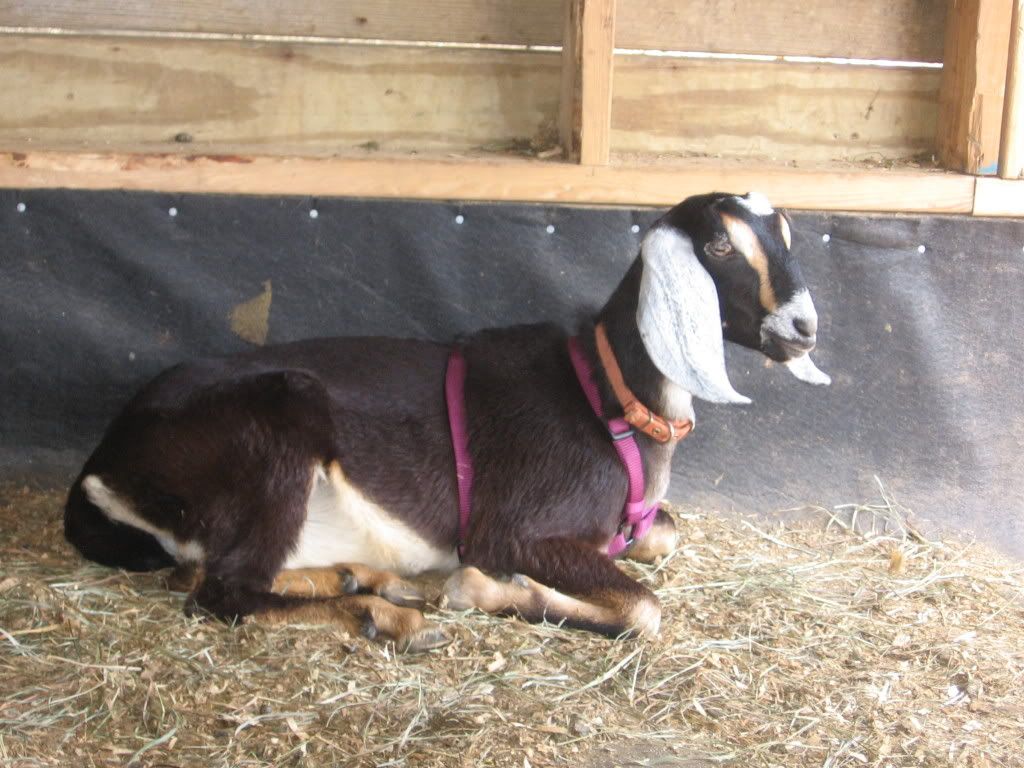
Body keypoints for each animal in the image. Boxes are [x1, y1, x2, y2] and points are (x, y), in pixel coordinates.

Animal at [64, 192, 829, 650]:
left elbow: (662, 534)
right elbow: (642, 609)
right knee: (217, 592)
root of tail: (101, 466)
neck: (604, 397)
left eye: (786, 233)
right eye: (720, 247)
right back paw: (386, 613)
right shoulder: (512, 529)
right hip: (277, 424)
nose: (803, 328)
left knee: (208, 574)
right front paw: (482, 587)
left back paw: (361, 579)